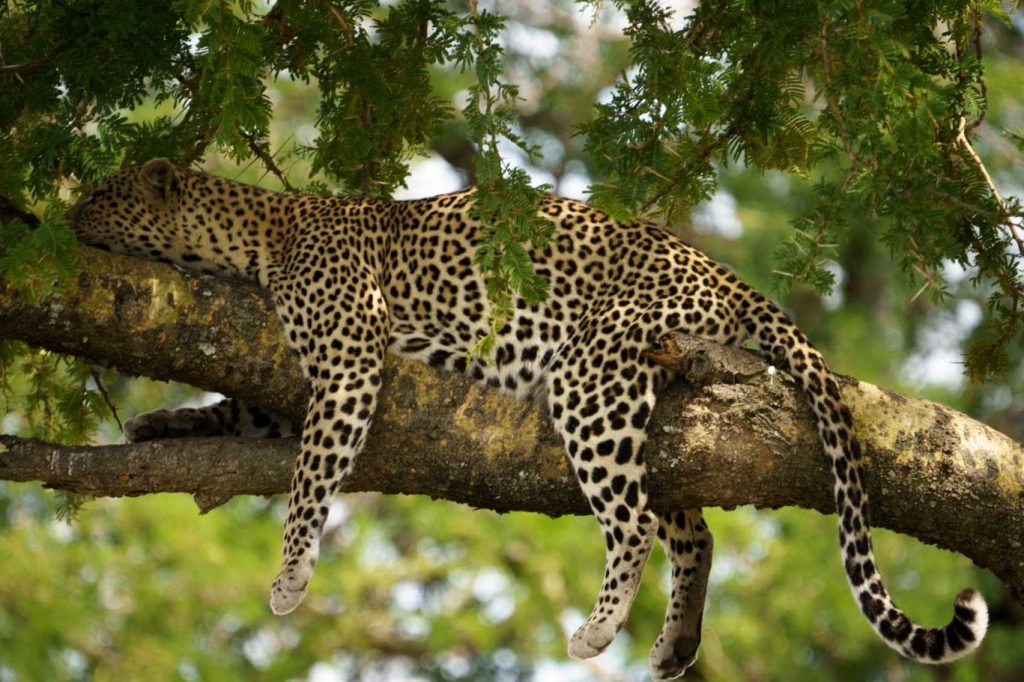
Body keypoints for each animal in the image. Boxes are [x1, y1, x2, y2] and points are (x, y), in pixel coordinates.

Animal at [69, 158, 988, 678]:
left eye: (106, 192)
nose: (65, 217)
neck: (252, 238)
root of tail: (717, 267)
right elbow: (240, 411)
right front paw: (158, 427)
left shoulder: (347, 362)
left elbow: (309, 478)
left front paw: (292, 574)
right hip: (657, 412)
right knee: (693, 529)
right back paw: (677, 644)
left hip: (591, 380)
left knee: (634, 525)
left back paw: (600, 627)